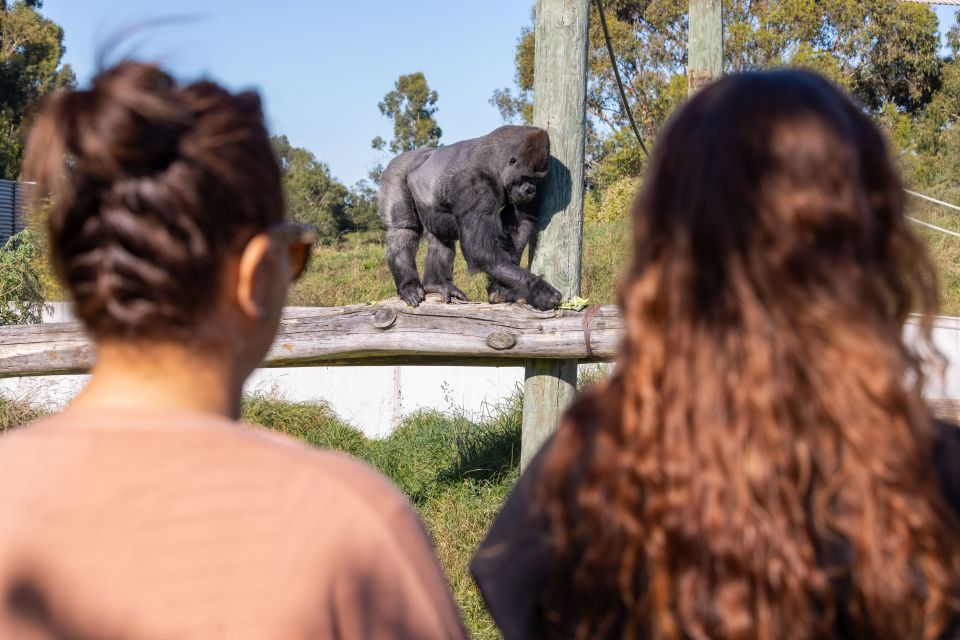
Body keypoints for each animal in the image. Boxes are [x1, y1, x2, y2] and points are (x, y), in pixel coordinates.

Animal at [376, 124, 564, 310]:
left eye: (536, 179)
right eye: (526, 177)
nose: (531, 189)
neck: (495, 161)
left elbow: (519, 225)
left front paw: (501, 290)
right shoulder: (475, 185)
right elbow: (480, 248)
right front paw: (539, 290)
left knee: (440, 239)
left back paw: (436, 284)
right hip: (395, 170)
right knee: (403, 229)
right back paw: (409, 284)